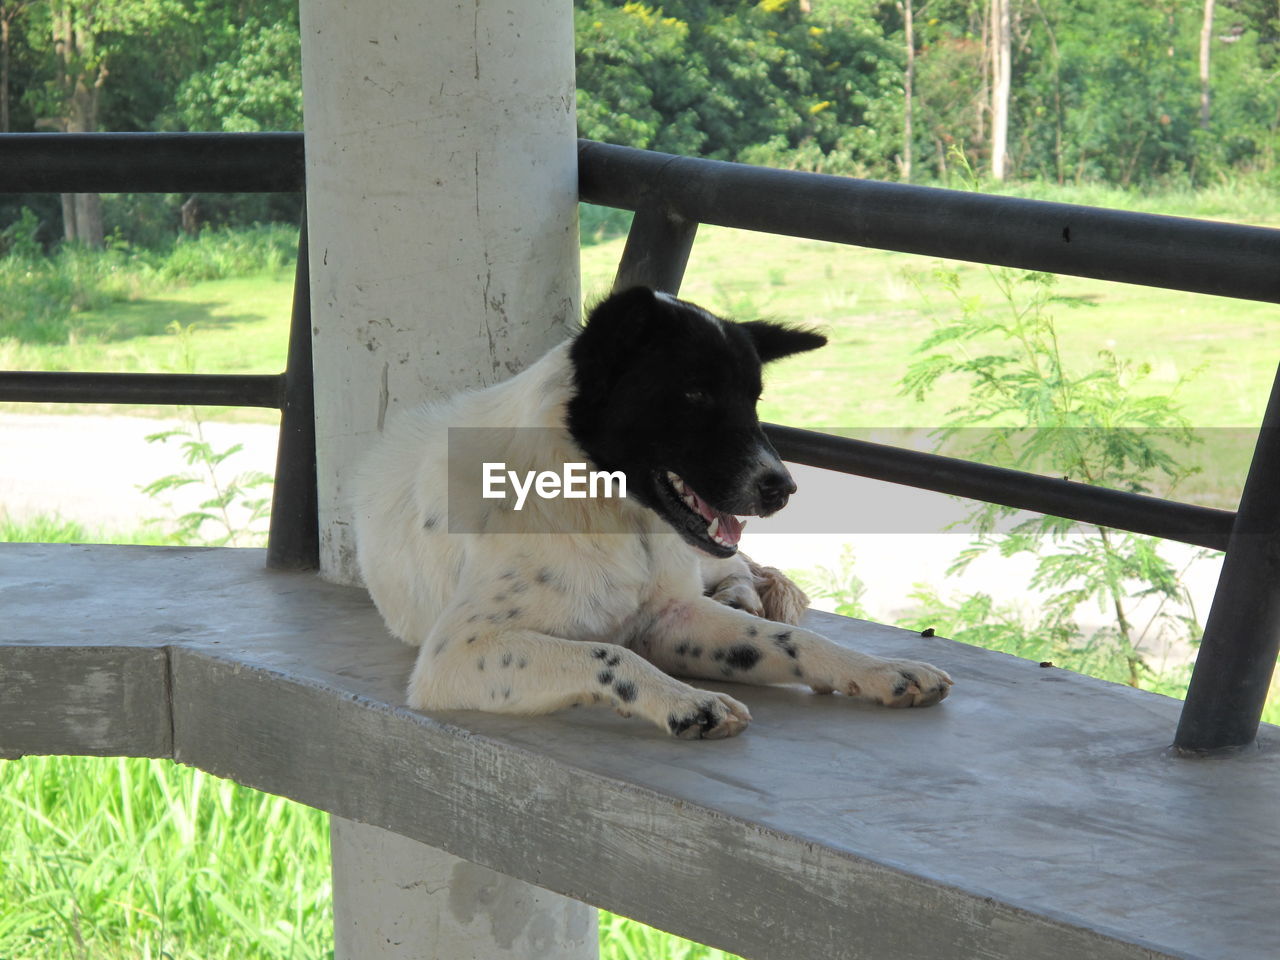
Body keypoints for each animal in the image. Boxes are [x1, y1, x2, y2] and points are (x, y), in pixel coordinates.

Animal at [353, 289, 952, 742]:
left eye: (754, 399)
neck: (605, 508)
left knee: (741, 567)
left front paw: (881, 670)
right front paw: (686, 701)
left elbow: (793, 640)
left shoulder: (672, 616)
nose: (782, 489)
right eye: (693, 393)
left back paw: (742, 592)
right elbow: (608, 652)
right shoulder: (456, 655)